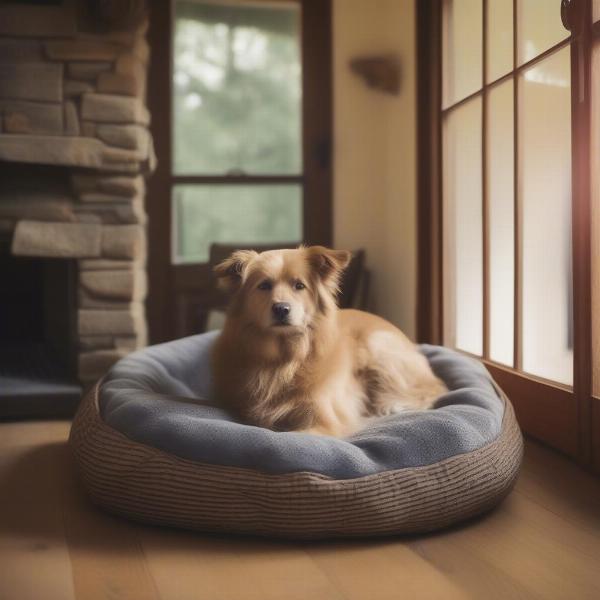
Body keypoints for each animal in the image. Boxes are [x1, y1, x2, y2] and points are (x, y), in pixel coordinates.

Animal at [213, 246, 448, 438]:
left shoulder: (324, 421)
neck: (286, 359)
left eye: (299, 285)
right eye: (264, 286)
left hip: (379, 349)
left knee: (433, 388)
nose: (281, 309)